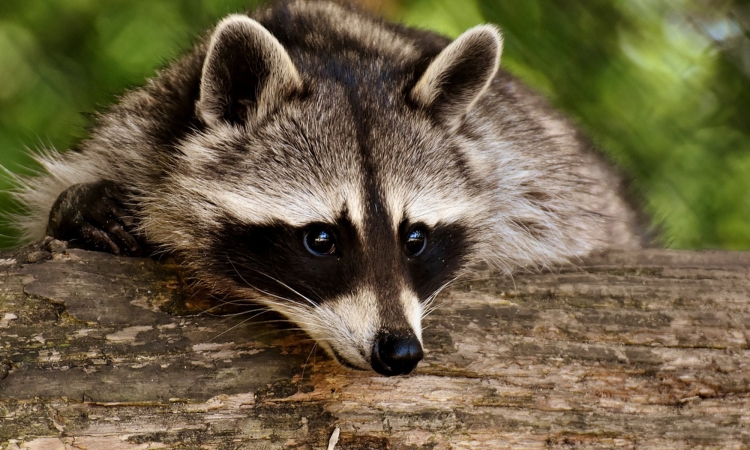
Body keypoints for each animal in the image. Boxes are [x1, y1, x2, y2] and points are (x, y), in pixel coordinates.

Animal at [8, 0, 644, 376]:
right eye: (320, 240)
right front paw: (79, 209)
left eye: (415, 238)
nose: (400, 353)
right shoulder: (136, 133)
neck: (331, 50)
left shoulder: (529, 171)